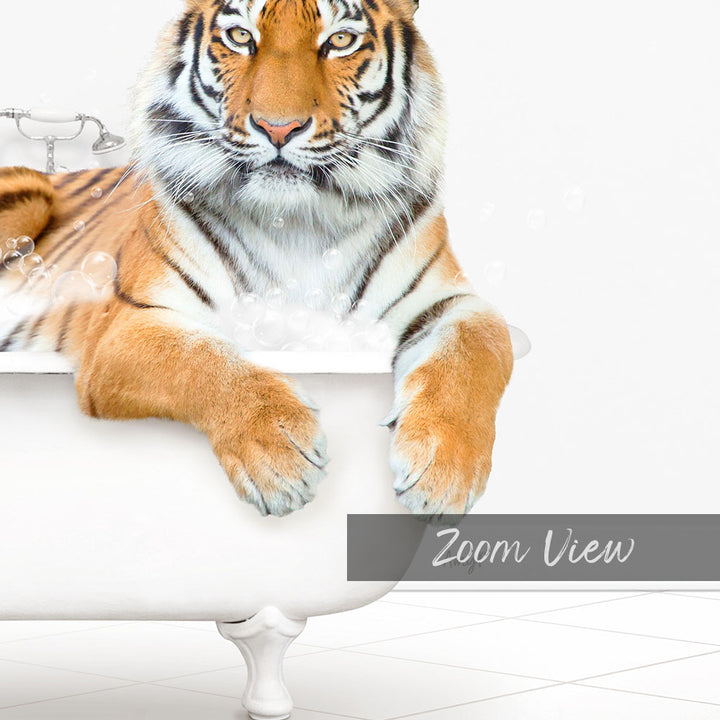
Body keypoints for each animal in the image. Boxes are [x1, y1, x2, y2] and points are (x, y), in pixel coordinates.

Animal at [0, 0, 514, 517]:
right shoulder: (126, 325)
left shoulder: (450, 301)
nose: (278, 128)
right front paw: (280, 456)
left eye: (340, 41)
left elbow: (477, 348)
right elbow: (201, 359)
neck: (298, 224)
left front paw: (444, 472)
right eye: (241, 36)